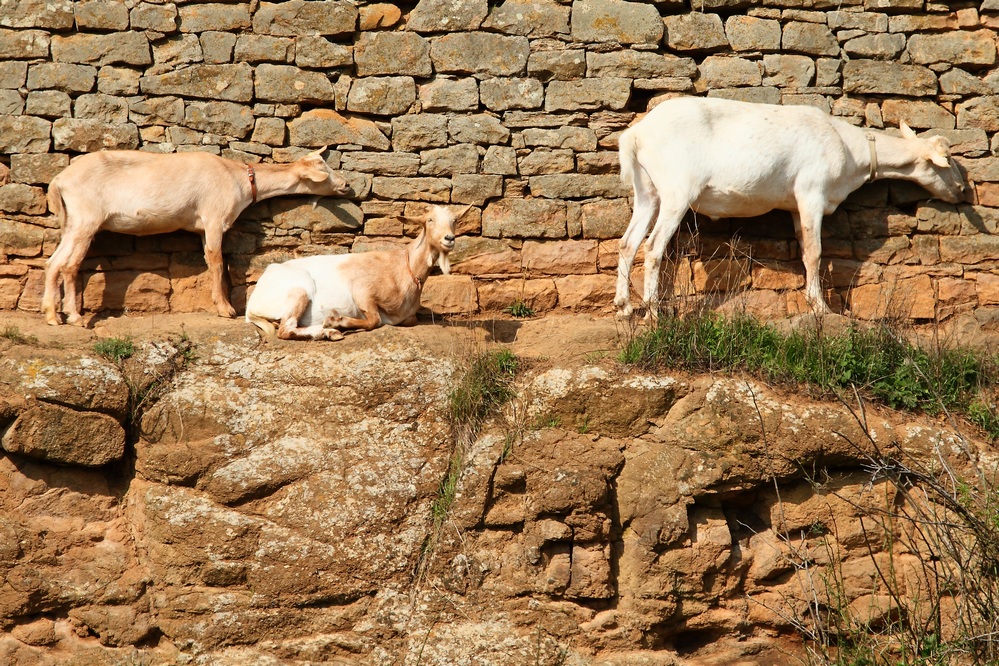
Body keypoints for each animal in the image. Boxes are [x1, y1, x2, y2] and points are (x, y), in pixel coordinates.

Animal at [42, 150, 352, 326]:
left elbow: (209, 259)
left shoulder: (203, 227)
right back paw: (75, 317)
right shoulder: (214, 218)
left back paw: (51, 315)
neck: (239, 179)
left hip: (72, 222)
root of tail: (59, 181)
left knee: (53, 262)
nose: (347, 184)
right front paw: (226, 309)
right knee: (70, 265)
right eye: (325, 171)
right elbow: (216, 262)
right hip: (87, 218)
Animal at [244, 204, 466, 340]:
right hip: (299, 289)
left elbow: (406, 320)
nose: (449, 238)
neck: (404, 267)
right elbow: (375, 320)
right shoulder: (362, 290)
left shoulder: (408, 316)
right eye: (430, 220)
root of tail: (252, 304)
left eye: (454, 220)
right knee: (285, 329)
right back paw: (329, 330)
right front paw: (337, 321)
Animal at [616, 94, 968, 316]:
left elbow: (803, 248)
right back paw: (653, 313)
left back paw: (623, 307)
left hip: (648, 191)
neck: (850, 149)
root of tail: (636, 133)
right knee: (652, 246)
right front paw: (821, 307)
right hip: (678, 190)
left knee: (627, 243)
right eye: (947, 158)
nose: (962, 189)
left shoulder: (796, 206)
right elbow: (814, 252)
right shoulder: (812, 193)